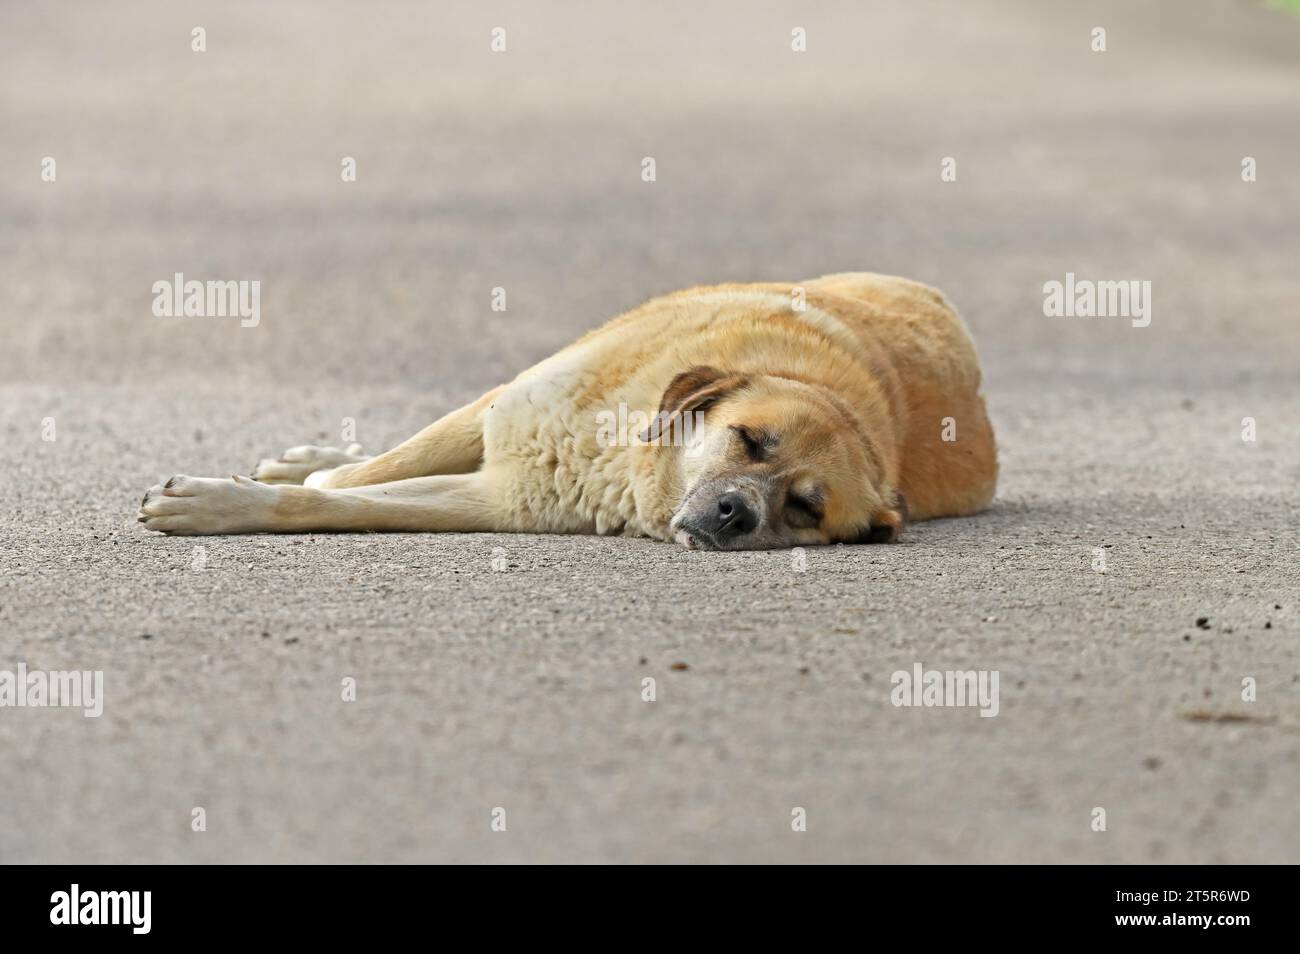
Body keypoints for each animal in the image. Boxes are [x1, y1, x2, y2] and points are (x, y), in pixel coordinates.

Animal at [139, 270, 993, 553]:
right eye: (749, 440)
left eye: (808, 508)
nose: (734, 514)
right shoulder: (508, 405)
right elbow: (361, 480)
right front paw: (296, 479)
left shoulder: (498, 499)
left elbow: (344, 504)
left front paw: (223, 504)